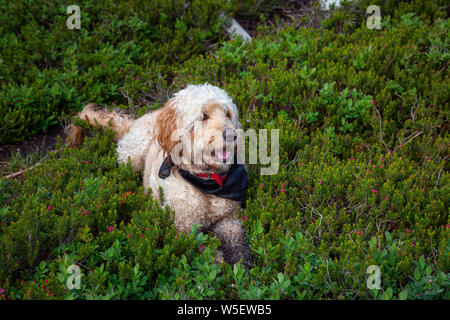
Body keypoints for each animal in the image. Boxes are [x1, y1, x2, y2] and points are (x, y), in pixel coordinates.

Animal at [69, 84, 255, 268]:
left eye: (227, 114)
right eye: (203, 116)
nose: (232, 135)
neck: (205, 182)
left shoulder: (228, 217)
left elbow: (236, 238)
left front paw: (242, 263)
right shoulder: (184, 227)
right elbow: (204, 249)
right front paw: (220, 264)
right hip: (132, 156)